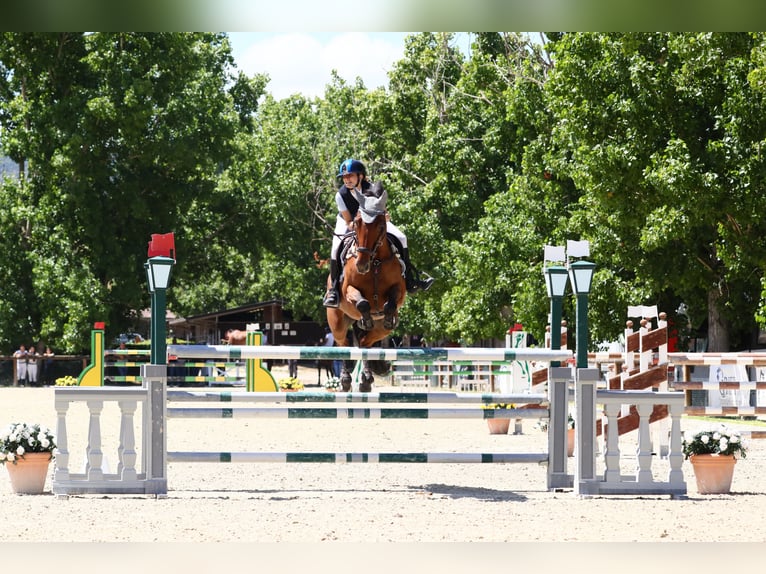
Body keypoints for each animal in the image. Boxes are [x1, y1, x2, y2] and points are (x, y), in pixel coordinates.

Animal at [326, 193, 407, 392]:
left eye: (380, 226)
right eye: (356, 223)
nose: (361, 265)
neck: (375, 262)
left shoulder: (399, 290)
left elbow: (390, 303)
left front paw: (387, 317)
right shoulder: (349, 290)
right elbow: (362, 302)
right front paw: (366, 318)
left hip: (380, 332)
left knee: (364, 343)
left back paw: (366, 379)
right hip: (337, 323)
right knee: (344, 344)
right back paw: (346, 379)